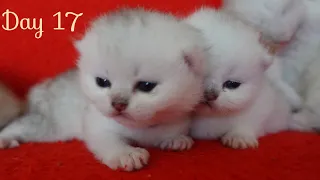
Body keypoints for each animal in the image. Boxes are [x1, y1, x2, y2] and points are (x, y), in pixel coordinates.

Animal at [0, 8, 208, 172]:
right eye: (102, 82)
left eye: (146, 86)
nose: (118, 104)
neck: (141, 127)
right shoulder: (97, 125)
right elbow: (108, 140)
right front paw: (125, 154)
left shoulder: (176, 119)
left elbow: (173, 131)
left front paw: (176, 139)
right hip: (47, 125)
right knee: (19, 125)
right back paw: (5, 139)